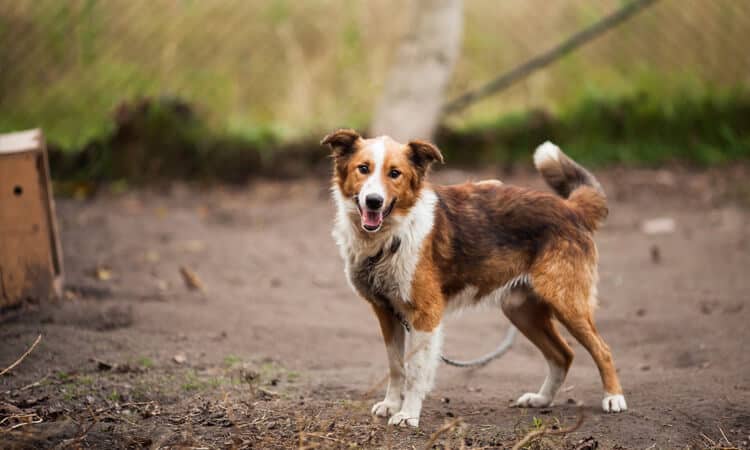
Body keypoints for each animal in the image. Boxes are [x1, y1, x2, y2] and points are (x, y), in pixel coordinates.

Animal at [324, 128, 628, 428]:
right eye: (363, 169)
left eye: (395, 173)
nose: (373, 201)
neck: (392, 236)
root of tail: (570, 208)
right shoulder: (386, 312)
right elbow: (396, 366)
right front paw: (390, 404)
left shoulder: (425, 315)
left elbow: (415, 371)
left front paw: (408, 414)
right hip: (521, 311)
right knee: (563, 354)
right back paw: (542, 399)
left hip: (566, 303)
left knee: (602, 350)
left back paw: (613, 398)